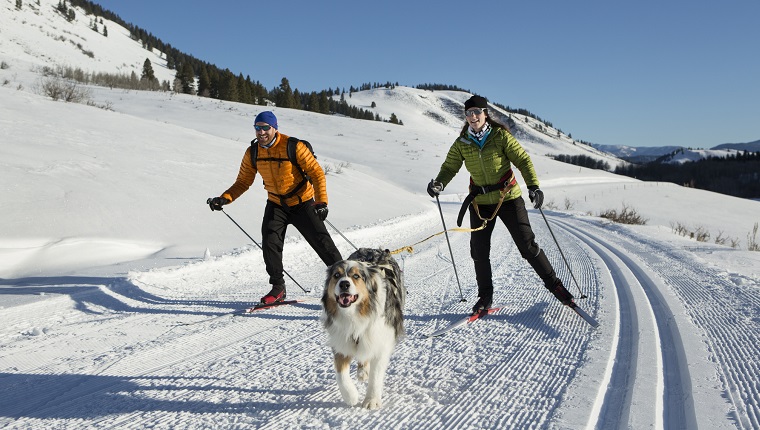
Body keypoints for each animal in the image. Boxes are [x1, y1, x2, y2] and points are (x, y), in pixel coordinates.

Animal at [320, 247, 404, 408]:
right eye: (336, 275)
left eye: (356, 276)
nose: (344, 284)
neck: (354, 315)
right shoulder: (341, 339)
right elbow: (341, 373)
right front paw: (350, 396)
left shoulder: (380, 340)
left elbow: (375, 375)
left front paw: (371, 400)